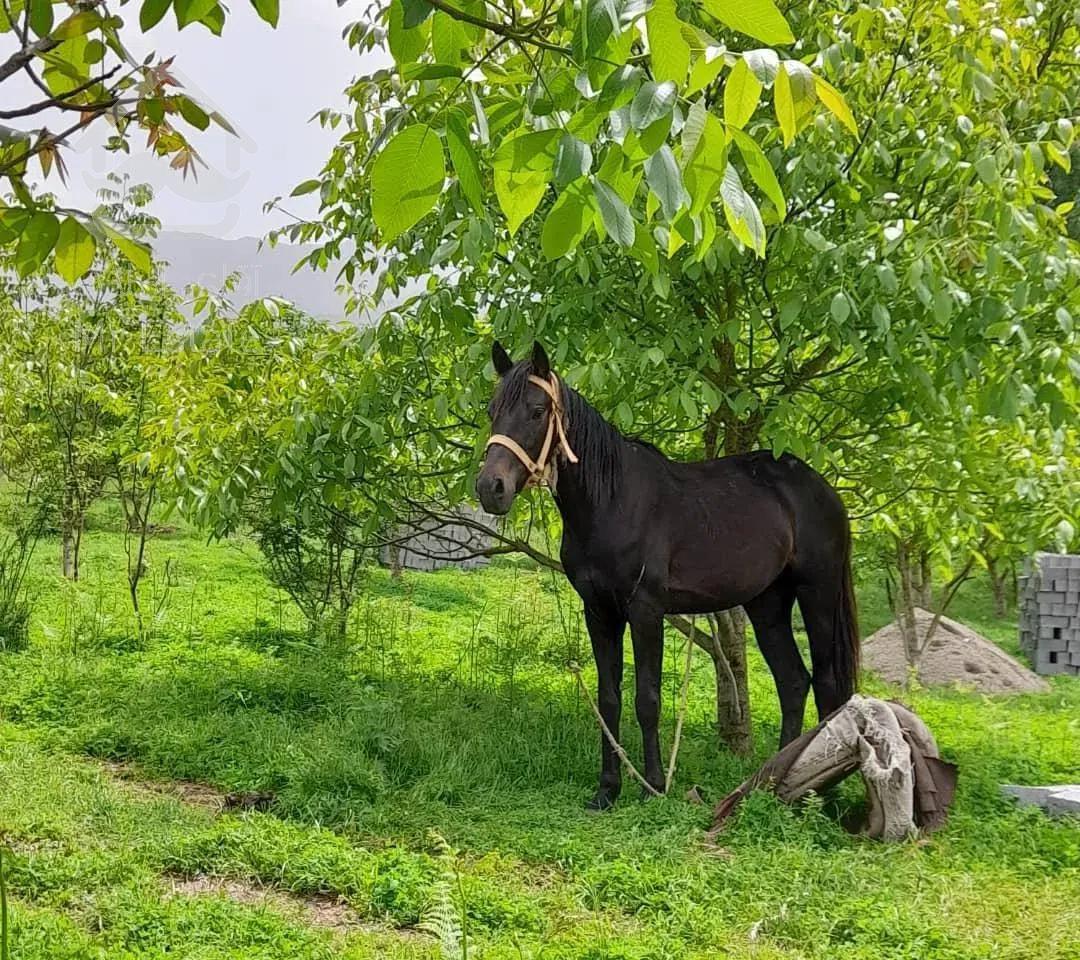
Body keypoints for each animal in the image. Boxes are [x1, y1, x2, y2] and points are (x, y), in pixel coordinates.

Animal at [475, 341, 859, 803]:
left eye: (536, 410)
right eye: (492, 409)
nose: (490, 488)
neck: (613, 501)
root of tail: (821, 487)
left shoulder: (646, 611)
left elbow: (648, 699)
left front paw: (654, 786)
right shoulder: (599, 612)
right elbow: (609, 700)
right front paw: (607, 790)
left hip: (817, 592)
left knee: (826, 683)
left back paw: (820, 795)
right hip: (767, 604)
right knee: (793, 682)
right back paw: (774, 784)